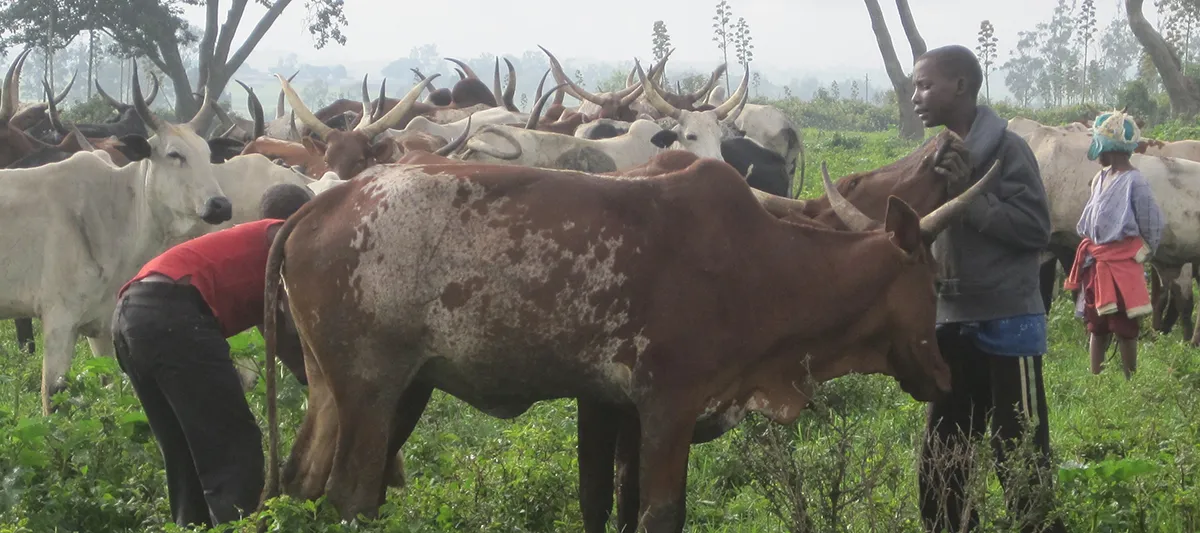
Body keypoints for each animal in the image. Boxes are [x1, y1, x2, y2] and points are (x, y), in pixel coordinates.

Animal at [0, 66, 232, 415]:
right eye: (174, 154)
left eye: (208, 155)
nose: (220, 205)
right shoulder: (58, 321)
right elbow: (52, 401)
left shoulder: (100, 327)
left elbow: (108, 385)